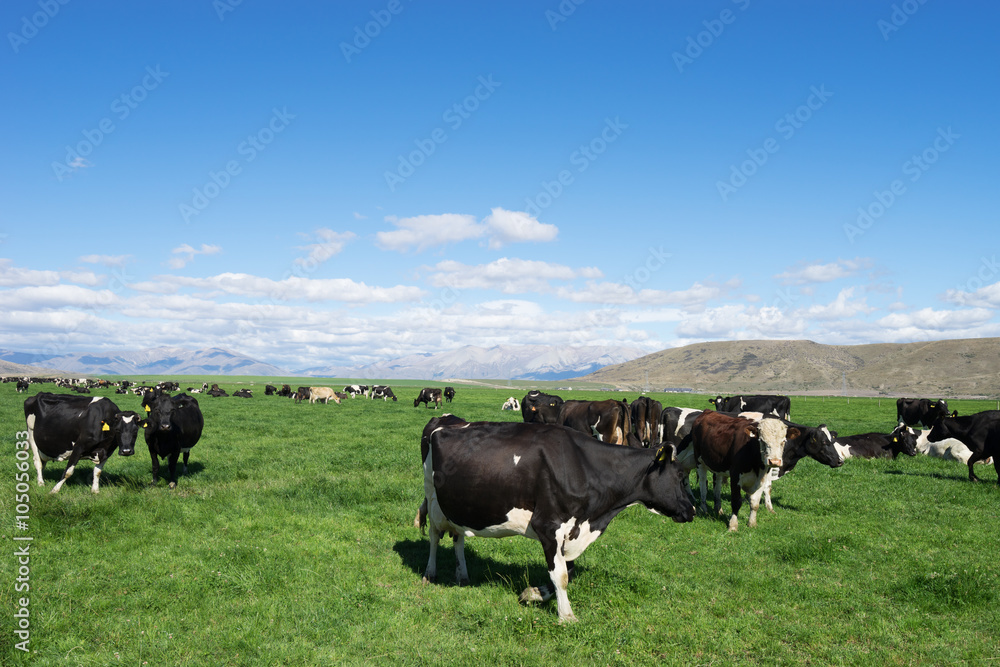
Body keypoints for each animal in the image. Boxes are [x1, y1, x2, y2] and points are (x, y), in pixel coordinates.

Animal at [416, 420, 696, 624]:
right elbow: (560, 575)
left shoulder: (571, 530)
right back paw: (429, 573)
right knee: (434, 536)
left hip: (458, 506)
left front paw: (533, 593)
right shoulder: (548, 526)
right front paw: (566, 615)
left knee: (458, 537)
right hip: (433, 498)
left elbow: (568, 571)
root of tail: (444, 421)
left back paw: (462, 575)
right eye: (681, 476)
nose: (692, 510)